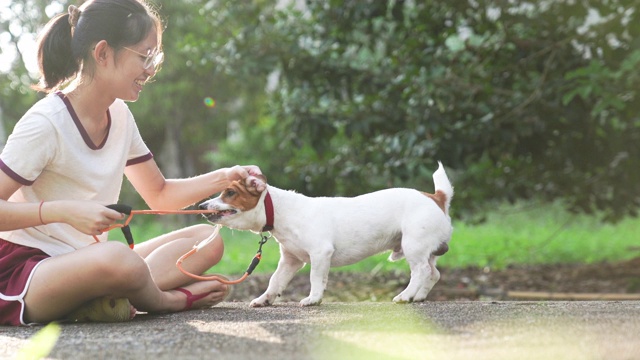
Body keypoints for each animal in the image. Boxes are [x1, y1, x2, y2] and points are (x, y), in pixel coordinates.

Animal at [199, 163, 450, 306]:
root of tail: (436, 197)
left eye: (230, 192)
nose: (202, 204)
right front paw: (265, 299)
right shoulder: (290, 261)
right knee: (434, 274)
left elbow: (315, 279)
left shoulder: (320, 253)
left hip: (414, 246)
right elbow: (275, 281)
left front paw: (313, 299)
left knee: (421, 271)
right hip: (426, 250)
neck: (280, 210)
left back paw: (406, 296)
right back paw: (419, 296)